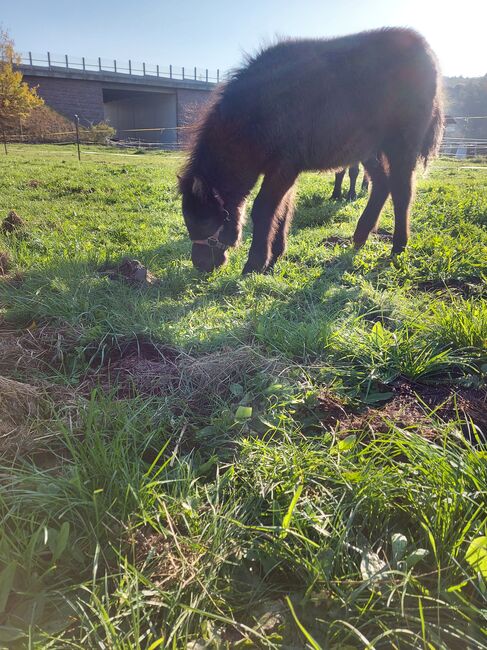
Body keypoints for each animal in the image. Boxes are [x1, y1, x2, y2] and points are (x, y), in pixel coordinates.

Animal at [180, 27, 446, 270]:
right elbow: (283, 209)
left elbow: (264, 209)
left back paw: (398, 246)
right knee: (382, 185)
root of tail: (426, 50)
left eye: (204, 223)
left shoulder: (283, 168)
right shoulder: (285, 171)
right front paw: (275, 255)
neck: (254, 116)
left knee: (402, 191)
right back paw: (360, 235)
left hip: (401, 147)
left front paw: (254, 264)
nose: (201, 264)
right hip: (370, 151)